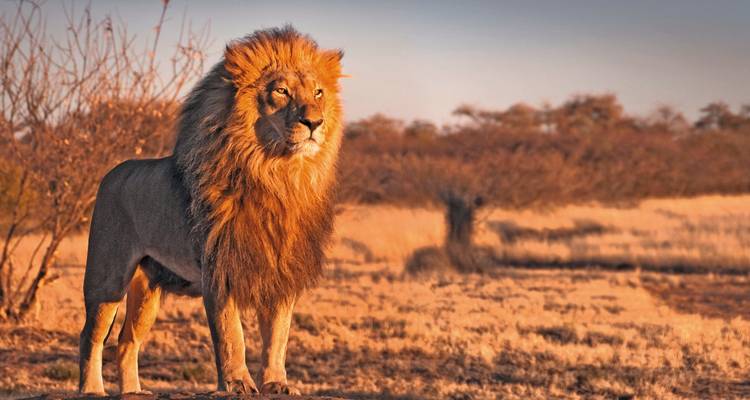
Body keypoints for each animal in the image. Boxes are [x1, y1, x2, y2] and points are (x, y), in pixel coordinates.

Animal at [78, 26, 344, 395]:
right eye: (281, 91)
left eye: (318, 92)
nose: (314, 122)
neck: (278, 176)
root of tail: (112, 172)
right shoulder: (219, 269)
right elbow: (232, 335)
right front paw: (237, 383)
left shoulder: (281, 272)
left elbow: (278, 336)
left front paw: (276, 382)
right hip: (107, 276)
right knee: (91, 335)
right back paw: (92, 389)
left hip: (148, 288)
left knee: (127, 340)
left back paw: (133, 392)